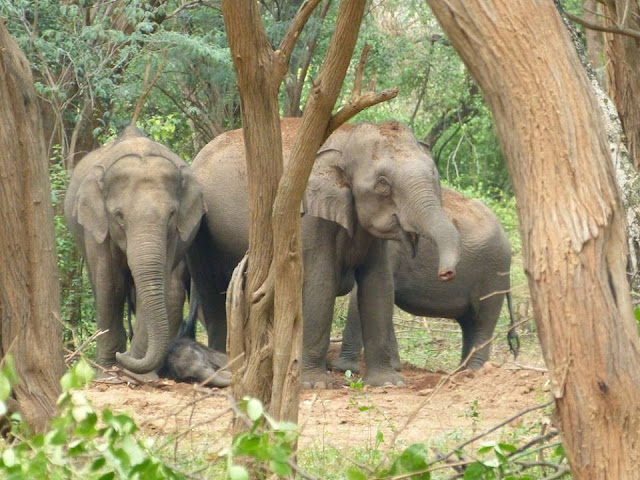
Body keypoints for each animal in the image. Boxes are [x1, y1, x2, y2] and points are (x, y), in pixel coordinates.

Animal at [64, 125, 206, 374]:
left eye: (171, 214)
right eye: (119, 216)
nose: (122, 356)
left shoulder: (172, 237)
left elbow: (155, 284)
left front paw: (138, 371)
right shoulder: (97, 228)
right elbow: (110, 284)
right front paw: (109, 369)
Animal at [185, 118, 460, 388]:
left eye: (433, 174)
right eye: (383, 183)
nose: (446, 273)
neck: (348, 136)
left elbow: (378, 284)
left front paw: (388, 383)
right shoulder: (306, 217)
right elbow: (321, 283)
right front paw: (314, 384)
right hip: (202, 235)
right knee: (212, 294)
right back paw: (227, 364)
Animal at [330, 188, 516, 372]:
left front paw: (342, 368)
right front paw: (395, 367)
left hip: (493, 273)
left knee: (483, 320)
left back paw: (474, 371)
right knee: (469, 323)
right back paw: (460, 372)